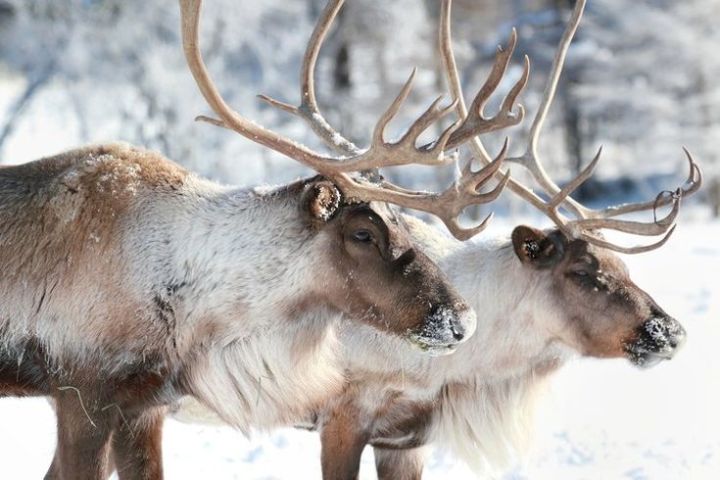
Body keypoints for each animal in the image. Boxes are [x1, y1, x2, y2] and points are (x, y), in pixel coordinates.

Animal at [171, 0, 702, 479]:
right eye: (581, 272)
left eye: (624, 267)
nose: (671, 332)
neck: (460, 372)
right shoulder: (342, 417)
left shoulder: (407, 436)